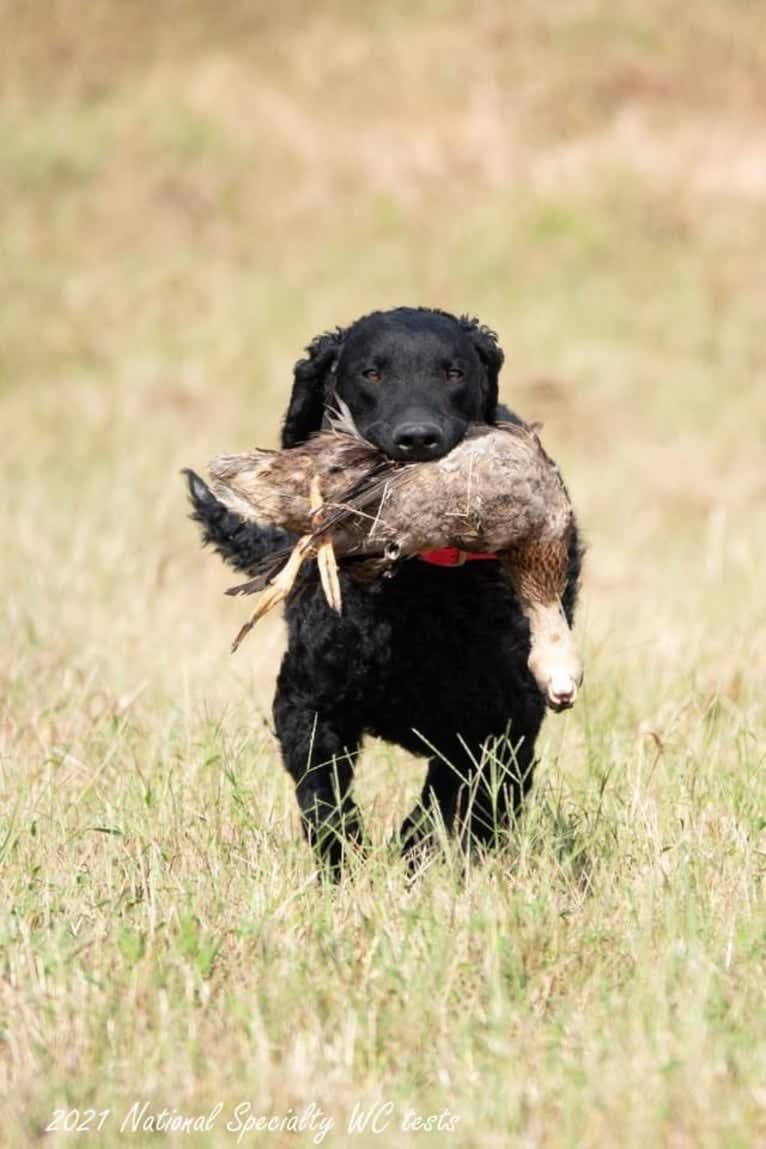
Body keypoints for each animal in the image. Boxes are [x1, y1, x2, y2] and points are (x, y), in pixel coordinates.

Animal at [187, 305, 581, 868]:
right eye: (370, 372)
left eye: (453, 372)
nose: (417, 439)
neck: (417, 593)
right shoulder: (304, 704)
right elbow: (324, 799)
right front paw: (346, 866)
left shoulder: (490, 724)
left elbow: (438, 807)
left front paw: (411, 859)